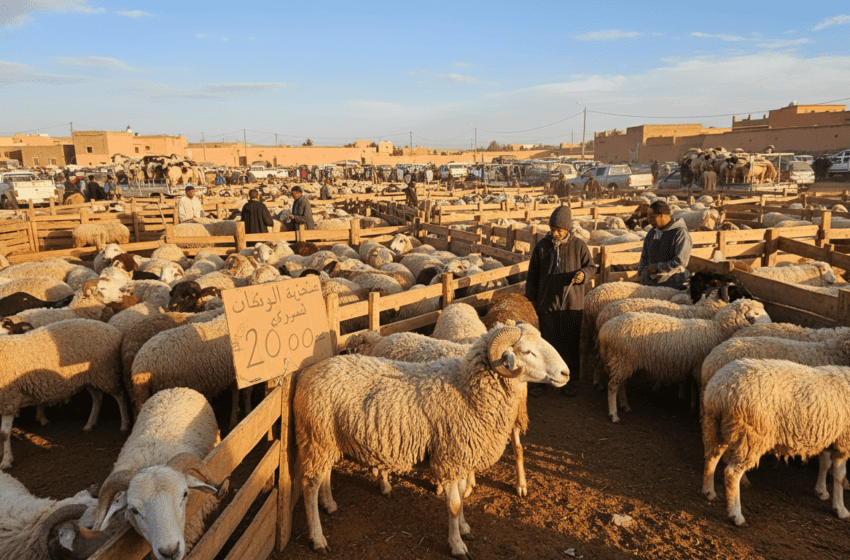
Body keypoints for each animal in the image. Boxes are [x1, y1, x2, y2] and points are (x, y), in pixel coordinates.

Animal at [0, 318, 130, 470]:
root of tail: (114, 330)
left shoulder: (9, 399)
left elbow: (4, 434)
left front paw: (6, 461)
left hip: (105, 371)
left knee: (120, 396)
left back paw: (124, 424)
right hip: (89, 377)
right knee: (97, 397)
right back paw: (90, 424)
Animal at [294, 322, 569, 556]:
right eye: (527, 351)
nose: (566, 373)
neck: (466, 389)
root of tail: (309, 372)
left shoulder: (460, 458)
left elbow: (462, 497)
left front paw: (465, 528)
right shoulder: (450, 458)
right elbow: (454, 504)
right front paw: (457, 545)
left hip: (327, 439)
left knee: (325, 473)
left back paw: (329, 504)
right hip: (316, 437)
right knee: (309, 485)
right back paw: (318, 539)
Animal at [598, 298, 771, 423]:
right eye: (756, 313)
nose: (771, 324)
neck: (718, 329)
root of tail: (605, 330)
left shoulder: (694, 365)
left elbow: (693, 387)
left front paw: (692, 407)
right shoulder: (699, 367)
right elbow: (699, 389)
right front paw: (699, 412)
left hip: (622, 361)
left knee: (620, 384)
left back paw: (625, 405)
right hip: (621, 358)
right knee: (612, 386)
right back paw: (614, 414)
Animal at [701, 359, 850, 526]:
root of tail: (720, 390)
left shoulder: (829, 436)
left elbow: (824, 463)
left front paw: (821, 491)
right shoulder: (844, 440)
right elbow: (840, 476)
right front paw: (841, 509)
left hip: (716, 426)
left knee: (711, 457)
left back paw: (708, 492)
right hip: (750, 435)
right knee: (732, 473)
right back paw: (736, 515)